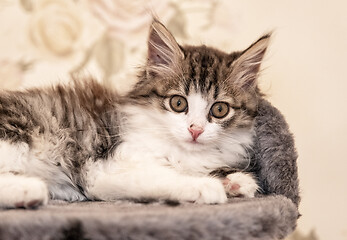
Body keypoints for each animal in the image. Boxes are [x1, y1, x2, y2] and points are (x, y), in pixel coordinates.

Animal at [0, 20, 270, 208]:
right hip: (16, 136)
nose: (195, 130)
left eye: (219, 109)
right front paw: (207, 186)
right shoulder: (104, 169)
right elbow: (163, 177)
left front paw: (235, 180)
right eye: (178, 103)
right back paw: (31, 190)